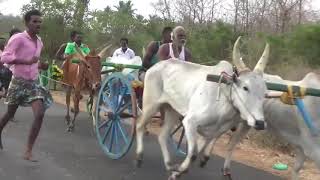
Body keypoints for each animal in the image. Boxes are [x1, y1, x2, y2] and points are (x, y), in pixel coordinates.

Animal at [134, 37, 270, 180]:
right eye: (245, 87)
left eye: (265, 92)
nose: (260, 123)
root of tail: (154, 67)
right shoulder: (190, 122)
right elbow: (193, 153)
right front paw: (178, 171)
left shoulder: (212, 133)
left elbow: (196, 153)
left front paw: (177, 172)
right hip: (150, 105)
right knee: (139, 125)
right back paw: (139, 157)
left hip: (172, 111)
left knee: (162, 136)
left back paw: (169, 164)